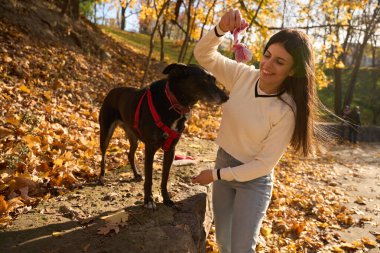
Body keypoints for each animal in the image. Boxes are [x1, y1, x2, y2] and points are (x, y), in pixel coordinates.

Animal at [98, 63, 229, 210]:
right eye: (205, 80)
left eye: (214, 80)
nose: (226, 97)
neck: (173, 103)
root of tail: (112, 90)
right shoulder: (150, 148)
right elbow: (149, 179)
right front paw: (148, 201)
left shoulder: (171, 150)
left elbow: (165, 178)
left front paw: (166, 199)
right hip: (106, 132)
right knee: (103, 155)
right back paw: (101, 177)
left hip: (133, 136)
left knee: (130, 154)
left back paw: (136, 174)